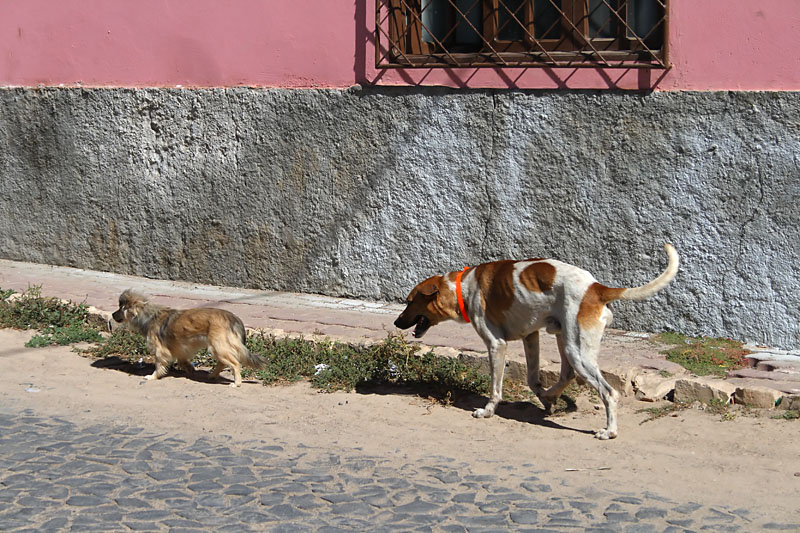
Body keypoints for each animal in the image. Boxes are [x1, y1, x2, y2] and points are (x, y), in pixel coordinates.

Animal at [111, 290, 266, 386]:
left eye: (121, 308)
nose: (112, 314)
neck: (148, 316)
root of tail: (233, 318)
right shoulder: (180, 348)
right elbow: (183, 360)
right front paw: (189, 369)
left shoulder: (160, 351)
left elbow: (159, 365)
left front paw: (153, 376)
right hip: (217, 347)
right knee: (223, 363)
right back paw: (212, 375)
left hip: (218, 346)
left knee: (235, 364)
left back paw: (236, 383)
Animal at [390, 243, 680, 438]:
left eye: (409, 302)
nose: (396, 322)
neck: (463, 288)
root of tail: (596, 288)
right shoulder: (531, 336)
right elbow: (532, 379)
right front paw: (545, 399)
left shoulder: (496, 345)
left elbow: (495, 388)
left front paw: (488, 411)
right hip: (564, 339)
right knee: (567, 375)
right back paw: (552, 397)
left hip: (578, 351)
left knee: (608, 392)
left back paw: (609, 431)